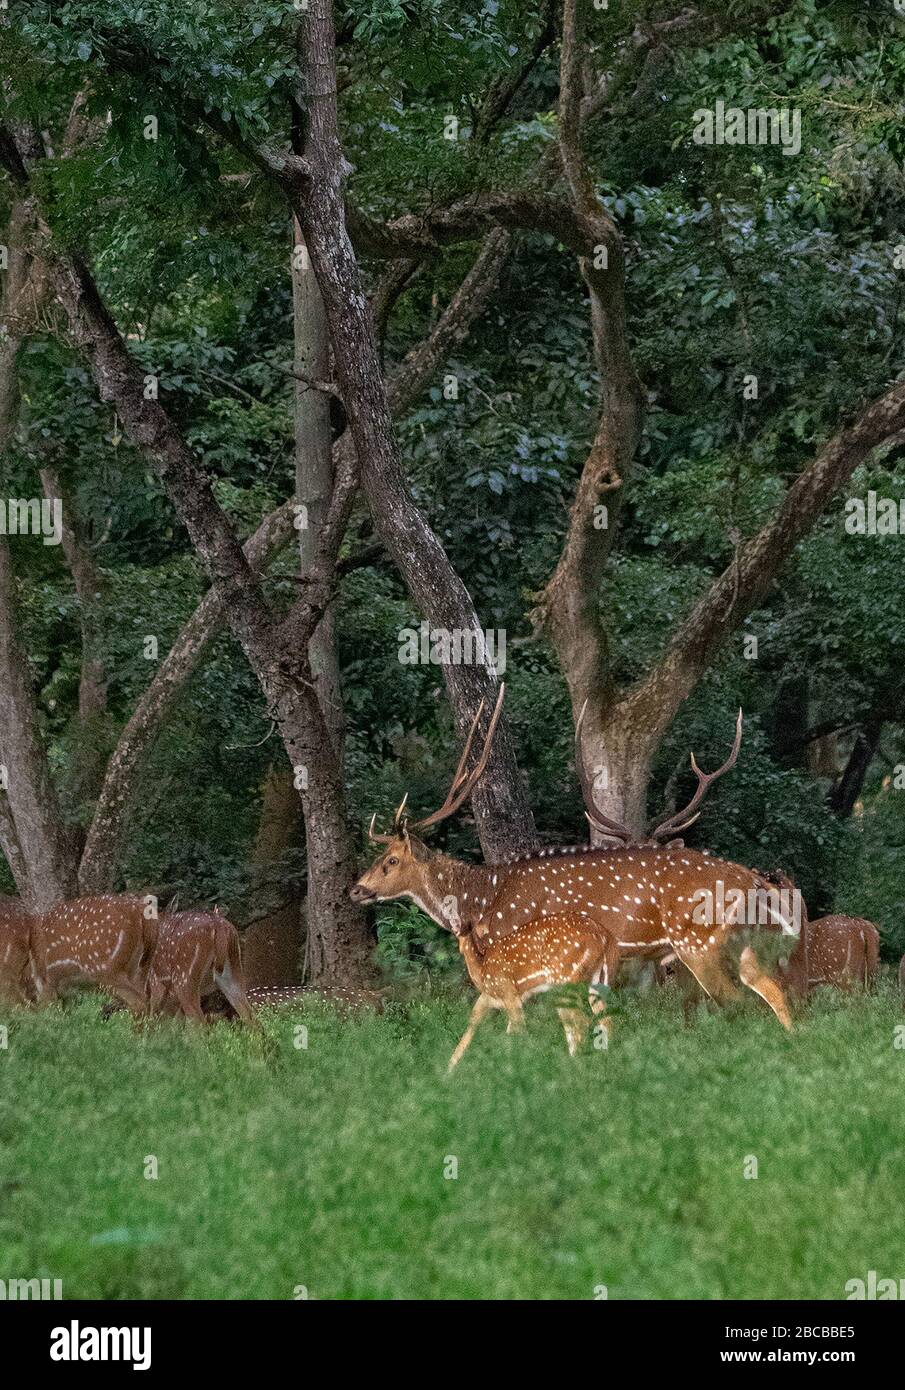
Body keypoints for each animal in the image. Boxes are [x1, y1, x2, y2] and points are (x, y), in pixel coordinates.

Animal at [354, 692, 800, 1034]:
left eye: (390, 860)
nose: (356, 889)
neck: (482, 900)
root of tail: (750, 877)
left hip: (699, 942)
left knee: (735, 1002)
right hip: (735, 943)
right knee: (771, 991)